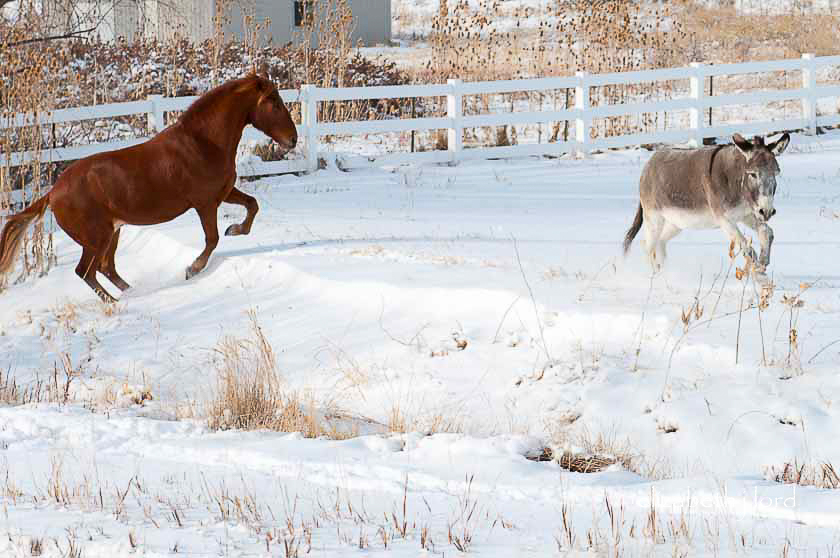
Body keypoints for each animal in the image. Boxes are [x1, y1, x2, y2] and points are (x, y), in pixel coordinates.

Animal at [0, 74, 297, 303]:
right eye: (273, 102)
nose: (292, 140)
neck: (203, 142)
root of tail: (52, 193)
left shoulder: (223, 193)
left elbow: (252, 205)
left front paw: (235, 230)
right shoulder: (204, 203)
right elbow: (212, 239)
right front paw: (192, 269)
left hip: (112, 232)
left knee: (106, 268)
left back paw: (131, 292)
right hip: (96, 238)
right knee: (86, 272)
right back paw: (115, 303)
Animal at [623, 133, 790, 282]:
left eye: (776, 174)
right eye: (753, 174)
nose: (767, 211)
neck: (736, 182)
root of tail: (649, 164)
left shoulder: (747, 214)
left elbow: (767, 232)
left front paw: (762, 266)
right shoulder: (724, 219)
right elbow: (746, 247)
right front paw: (759, 276)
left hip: (676, 223)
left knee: (660, 242)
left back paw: (665, 273)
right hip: (654, 219)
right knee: (648, 246)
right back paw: (654, 277)